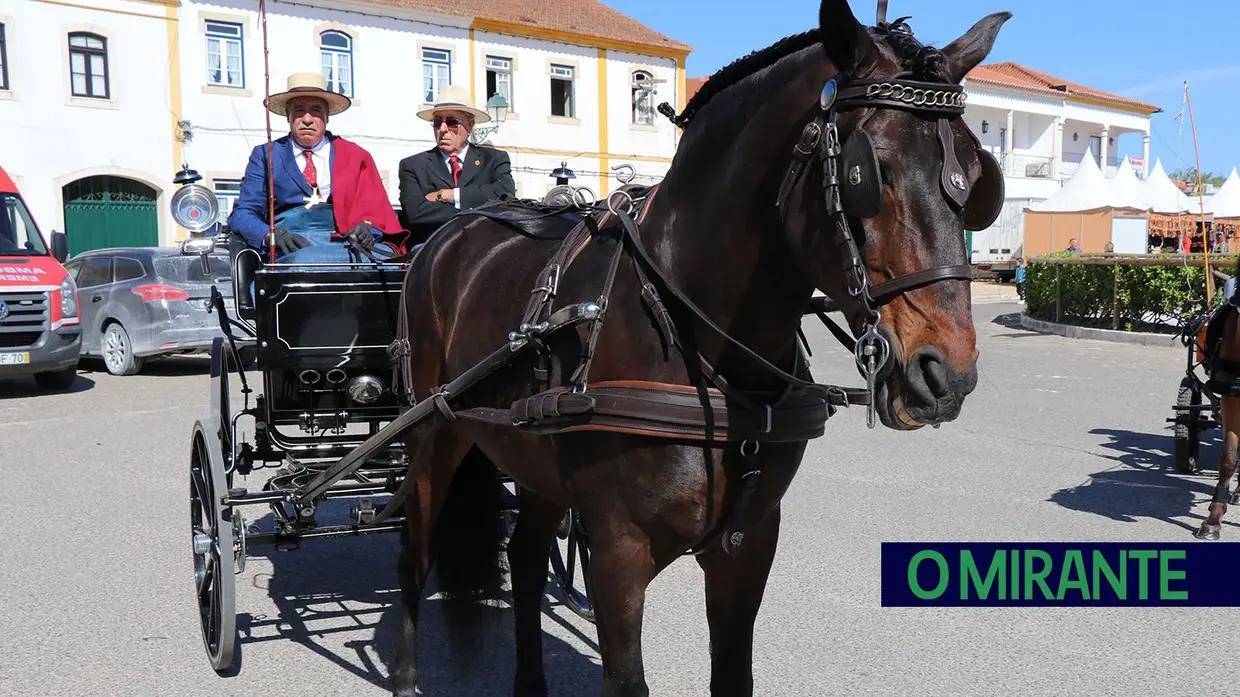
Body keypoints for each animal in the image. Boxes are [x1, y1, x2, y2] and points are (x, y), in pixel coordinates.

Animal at [384, 2, 1006, 689]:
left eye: (976, 180)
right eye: (868, 173)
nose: (947, 374)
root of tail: (448, 234)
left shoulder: (750, 545)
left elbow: (733, 671)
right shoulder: (617, 553)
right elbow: (627, 677)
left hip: (534, 456)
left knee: (523, 559)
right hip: (435, 432)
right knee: (416, 549)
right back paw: (405, 673)